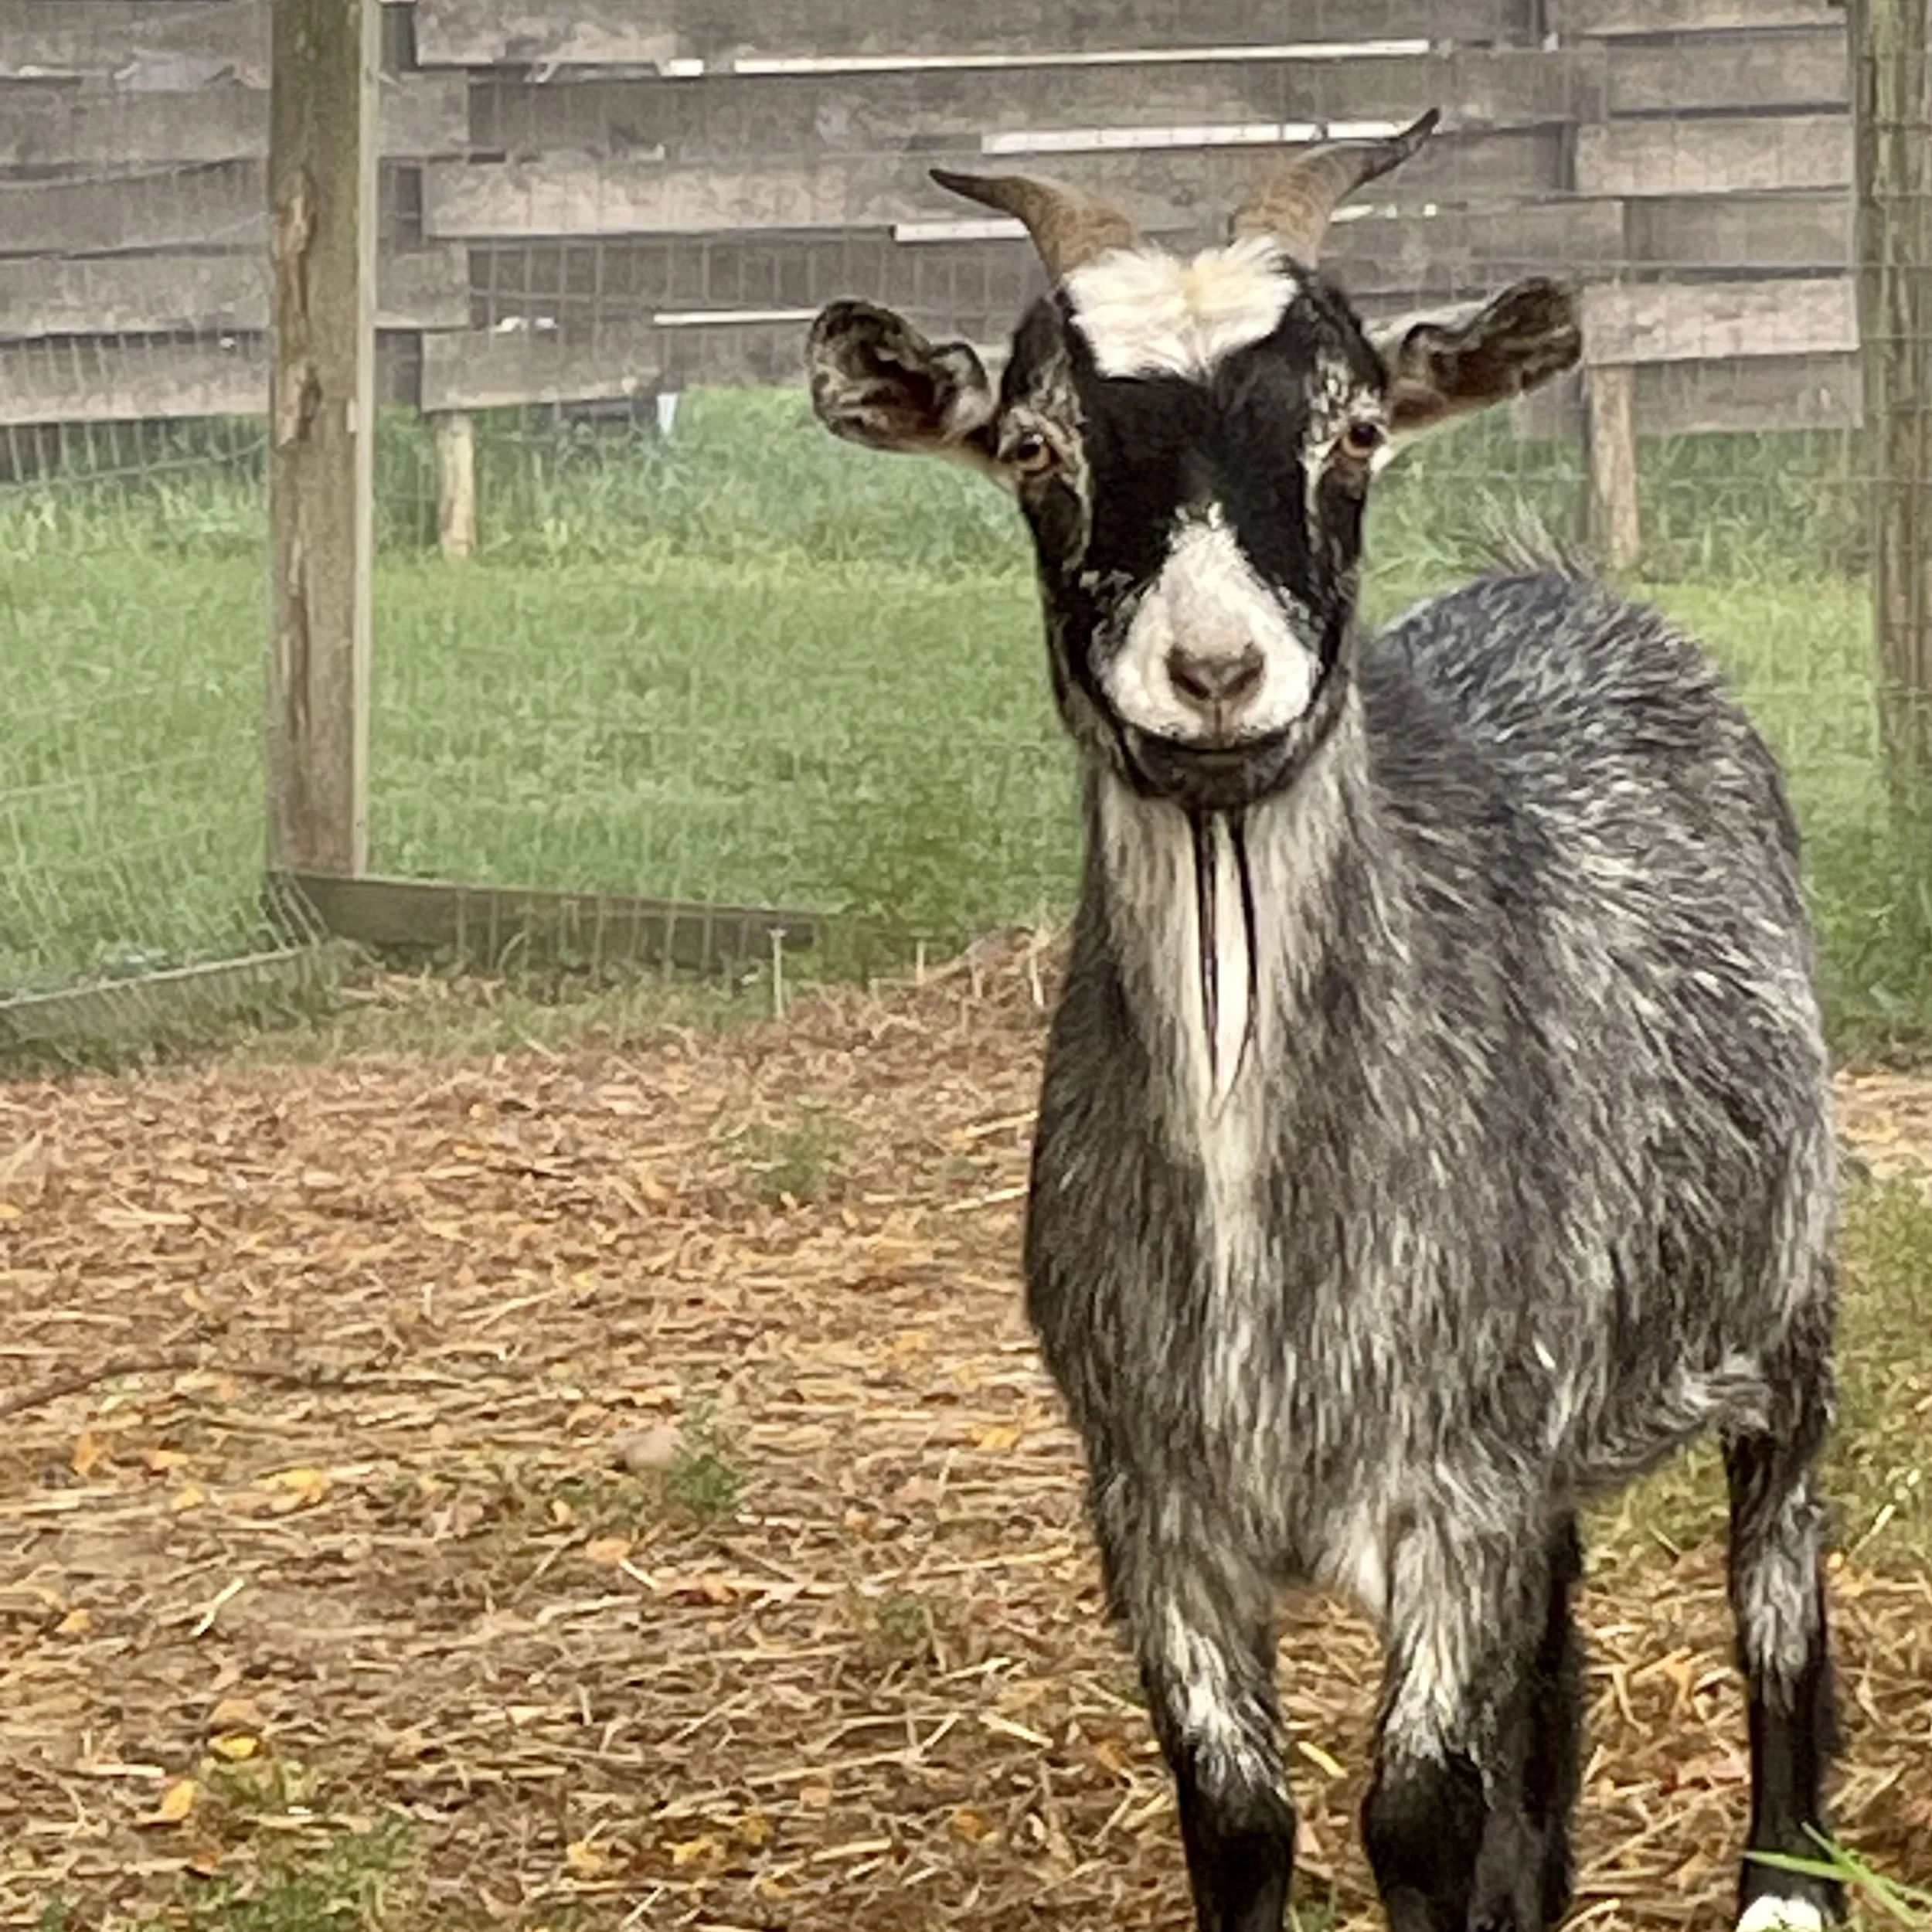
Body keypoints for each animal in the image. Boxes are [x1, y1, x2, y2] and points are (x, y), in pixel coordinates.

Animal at [805, 112, 1839, 1932]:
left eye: (1351, 431)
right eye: (1035, 449)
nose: (1215, 674)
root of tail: (1572, 593)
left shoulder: (1454, 1484)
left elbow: (1416, 1812)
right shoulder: (1156, 1501)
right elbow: (1238, 1814)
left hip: (1782, 1287)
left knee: (1777, 1570)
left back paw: (1787, 1877)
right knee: (1550, 1675)